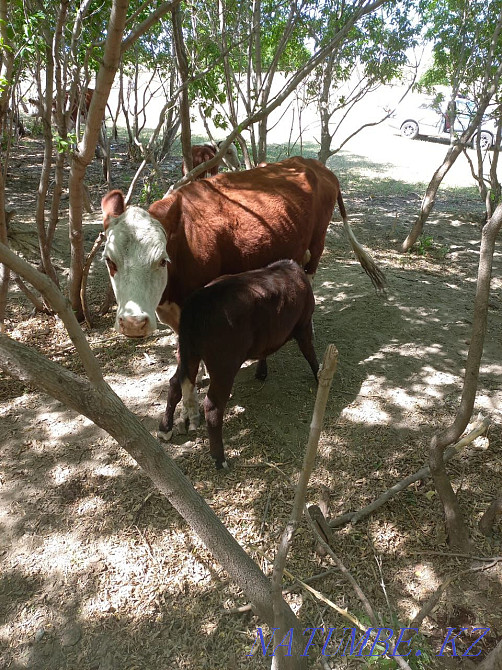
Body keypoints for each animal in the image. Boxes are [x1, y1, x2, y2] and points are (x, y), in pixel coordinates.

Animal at [101, 156, 386, 341]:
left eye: (161, 260)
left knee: (312, 274)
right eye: (109, 261)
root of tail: (316, 165)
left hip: (318, 242)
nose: (134, 323)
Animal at [159, 260, 319, 468]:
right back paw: (220, 459)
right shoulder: (304, 325)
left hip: (188, 354)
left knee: (174, 384)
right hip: (224, 365)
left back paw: (164, 428)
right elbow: (310, 354)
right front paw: (320, 375)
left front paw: (261, 372)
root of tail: (197, 302)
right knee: (212, 405)